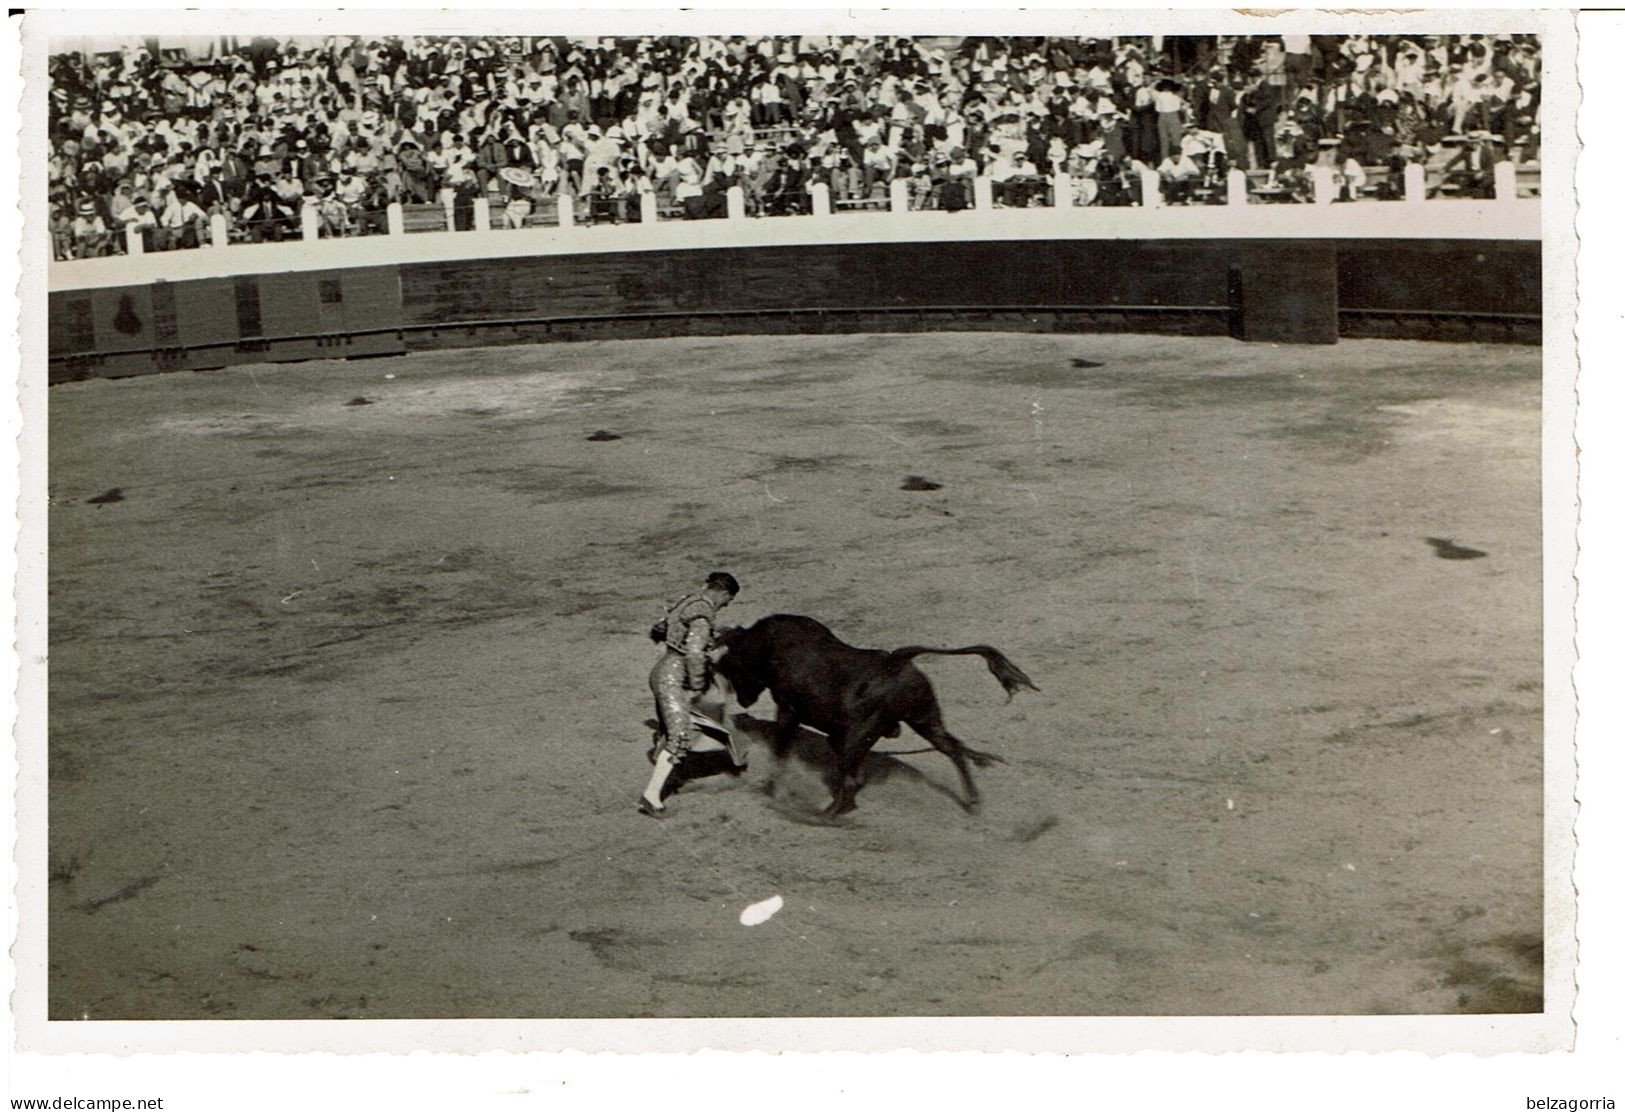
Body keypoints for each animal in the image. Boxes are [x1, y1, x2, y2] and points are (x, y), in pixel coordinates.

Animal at [711, 611, 1040, 812]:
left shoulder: (788, 709)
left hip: (850, 738)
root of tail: (897, 661)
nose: (742, 702)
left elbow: (781, 747)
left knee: (852, 780)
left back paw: (824, 813)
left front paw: (771, 786)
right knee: (953, 748)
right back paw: (973, 799)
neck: (767, 645)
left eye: (732, 667)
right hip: (925, 718)